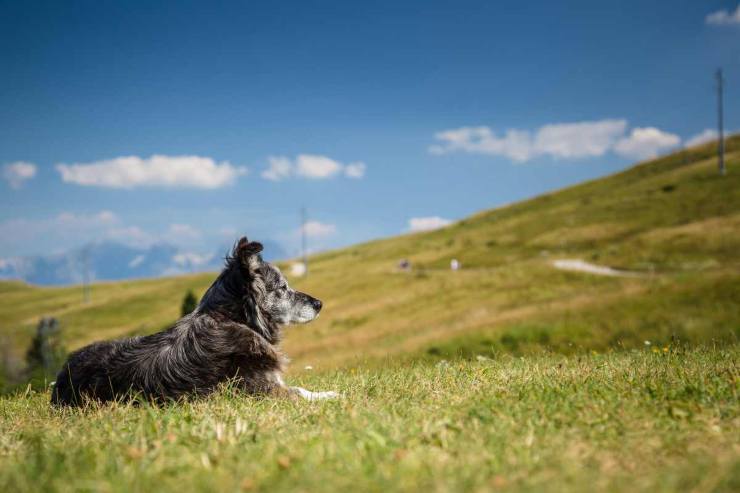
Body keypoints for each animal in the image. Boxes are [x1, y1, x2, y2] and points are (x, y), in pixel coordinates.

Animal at [51, 236, 338, 406]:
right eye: (283, 288)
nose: (319, 304)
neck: (232, 319)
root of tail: (61, 381)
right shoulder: (260, 391)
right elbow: (300, 392)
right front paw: (333, 395)